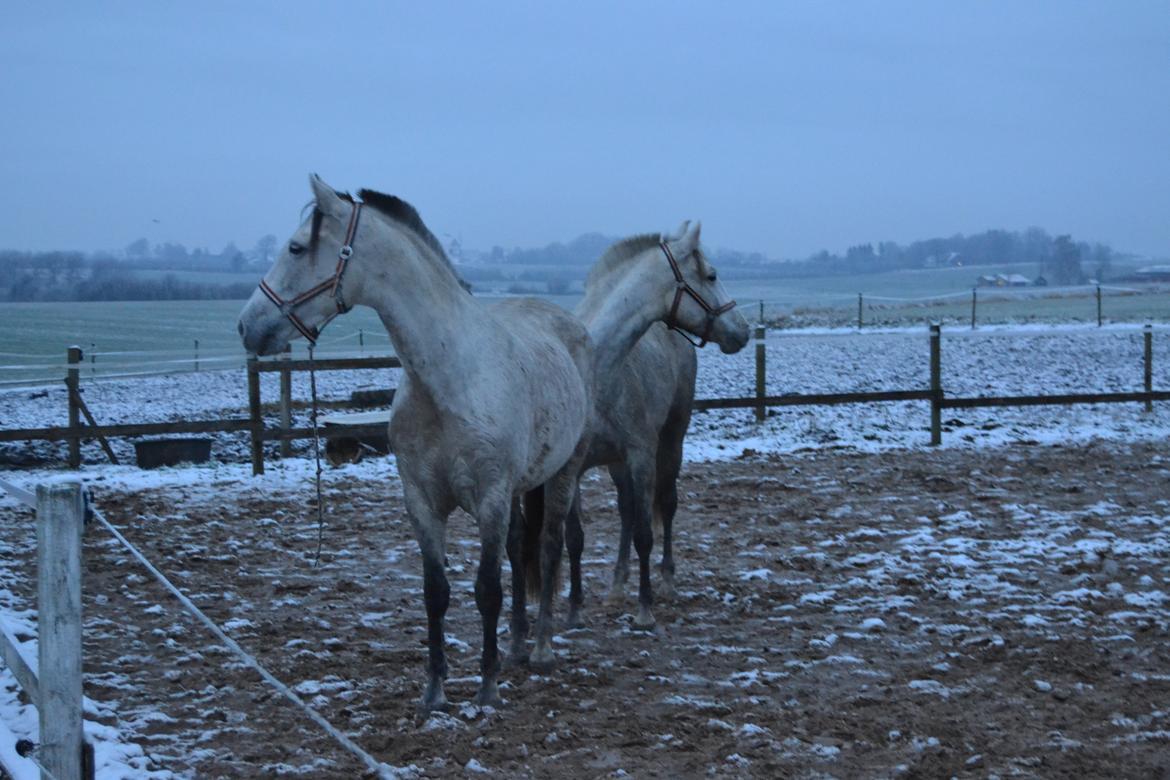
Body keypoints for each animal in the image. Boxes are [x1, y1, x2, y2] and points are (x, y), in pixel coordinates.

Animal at [235, 176, 594, 715]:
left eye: (296, 248)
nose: (247, 326)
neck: (450, 378)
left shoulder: (489, 498)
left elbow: (487, 589)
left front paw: (487, 689)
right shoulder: (421, 501)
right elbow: (436, 592)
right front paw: (435, 692)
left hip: (563, 471)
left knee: (550, 548)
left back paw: (543, 649)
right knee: (519, 550)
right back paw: (515, 645)